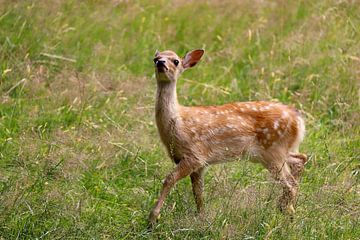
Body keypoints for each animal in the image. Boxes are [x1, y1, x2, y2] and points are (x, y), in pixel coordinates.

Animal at [148, 48, 306, 225]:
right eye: (155, 58)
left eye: (175, 61)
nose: (161, 63)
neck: (178, 122)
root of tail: (299, 121)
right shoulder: (199, 164)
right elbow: (198, 192)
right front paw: (202, 216)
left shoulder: (194, 155)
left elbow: (169, 179)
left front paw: (152, 218)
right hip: (274, 152)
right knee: (301, 159)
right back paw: (287, 208)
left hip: (273, 151)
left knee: (291, 184)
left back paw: (285, 212)